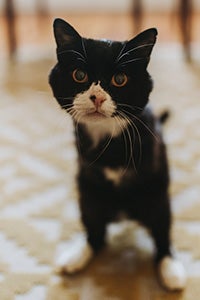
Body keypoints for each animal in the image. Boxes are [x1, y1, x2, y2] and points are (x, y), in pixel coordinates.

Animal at [48, 18, 186, 290]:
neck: (109, 140)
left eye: (120, 79)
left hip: (156, 196)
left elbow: (162, 227)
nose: (97, 96)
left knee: (161, 226)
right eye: (79, 75)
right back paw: (77, 255)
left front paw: (169, 265)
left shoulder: (155, 173)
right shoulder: (87, 166)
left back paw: (169, 266)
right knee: (96, 233)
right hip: (87, 195)